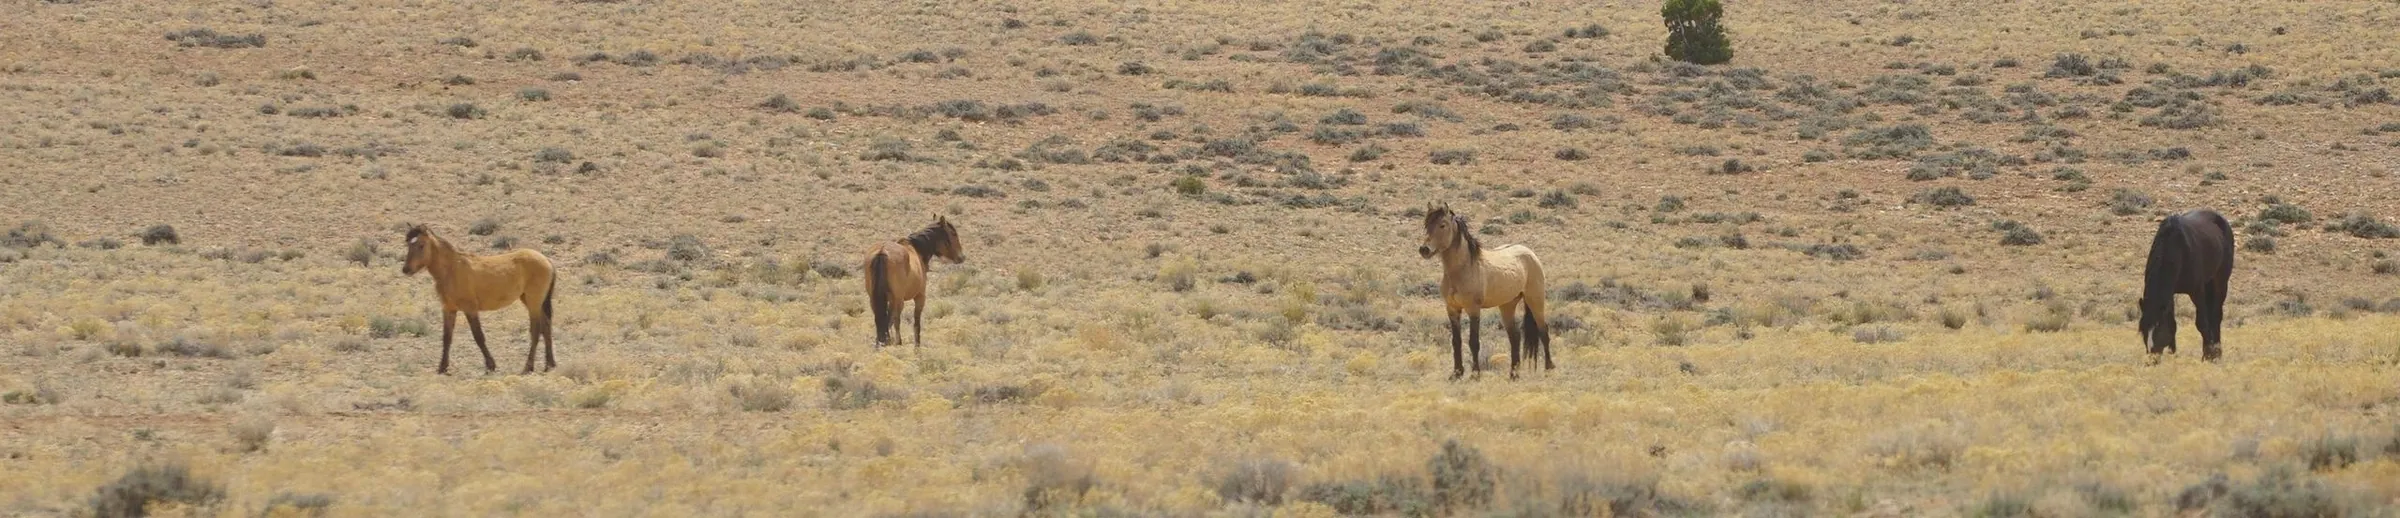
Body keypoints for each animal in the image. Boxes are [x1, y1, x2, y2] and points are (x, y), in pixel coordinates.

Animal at [401, 224, 558, 374]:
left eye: (421, 245)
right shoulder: (449, 309)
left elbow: (478, 336)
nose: (406, 269)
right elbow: (447, 337)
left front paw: (490, 365)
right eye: (408, 243)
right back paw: (549, 365)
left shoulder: (470, 309)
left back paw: (528, 368)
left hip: (533, 302)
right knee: (546, 327)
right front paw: (442, 367)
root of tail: (546, 260)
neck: (452, 269)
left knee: (536, 331)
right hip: (533, 301)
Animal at [863, 215, 966, 347]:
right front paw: (917, 346)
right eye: (953, 233)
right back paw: (897, 342)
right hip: (898, 300)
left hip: (875, 299)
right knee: (895, 320)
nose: (962, 257)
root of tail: (882, 251)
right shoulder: (920, 297)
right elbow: (916, 324)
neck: (917, 249)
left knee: (881, 320)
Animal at [1418, 203, 1553, 379]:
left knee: (1543, 331)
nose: (1424, 249)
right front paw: (1457, 373)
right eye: (1426, 224)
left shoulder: (1473, 309)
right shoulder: (1452, 309)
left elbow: (1474, 342)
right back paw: (1513, 373)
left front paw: (1475, 374)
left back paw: (1549, 368)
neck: (1464, 269)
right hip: (1507, 305)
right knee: (1515, 336)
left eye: (1442, 225)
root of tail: (1529, 253)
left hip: (1535, 300)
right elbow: (1456, 341)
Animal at [2138, 209, 2234, 361]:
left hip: (2220, 281)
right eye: (2143, 330)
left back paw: (2217, 352)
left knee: (2216, 316)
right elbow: (2172, 323)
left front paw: (2208, 355)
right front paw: (2173, 352)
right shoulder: (2169, 294)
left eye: (2158, 329)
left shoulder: (2197, 291)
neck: (2178, 248)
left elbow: (2202, 323)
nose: (2151, 360)